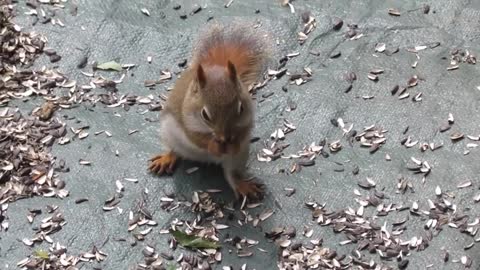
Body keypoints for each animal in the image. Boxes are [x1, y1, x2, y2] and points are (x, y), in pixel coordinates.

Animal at [148, 23, 272, 199]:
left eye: (241, 108)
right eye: (204, 114)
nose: (225, 137)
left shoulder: (248, 119)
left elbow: (243, 132)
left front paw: (234, 144)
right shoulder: (187, 119)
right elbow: (197, 138)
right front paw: (212, 145)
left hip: (238, 159)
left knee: (232, 174)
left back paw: (242, 186)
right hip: (169, 133)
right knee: (175, 150)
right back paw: (166, 158)